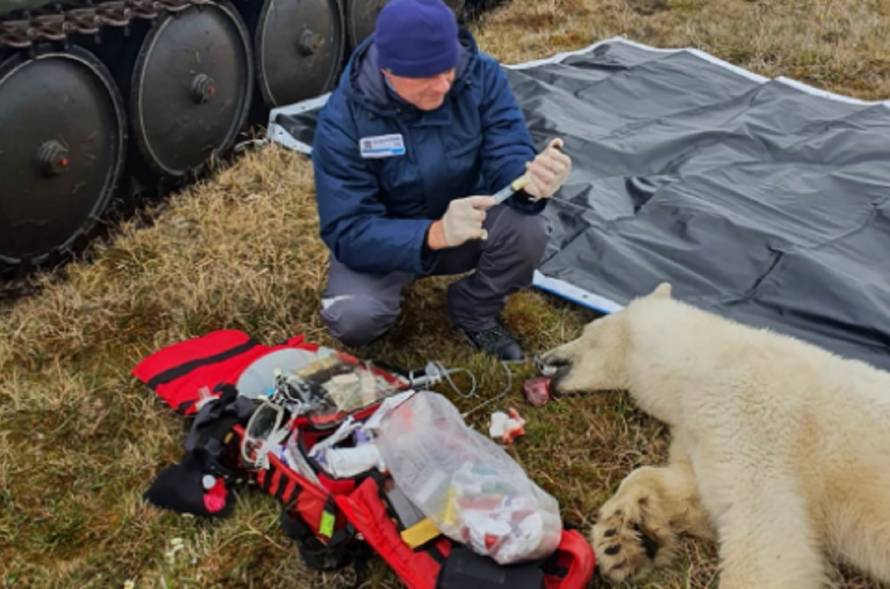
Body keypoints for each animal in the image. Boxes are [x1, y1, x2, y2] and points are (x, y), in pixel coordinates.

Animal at [536, 282, 888, 584]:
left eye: (586, 332)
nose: (542, 358)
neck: (705, 362)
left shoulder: (753, 417)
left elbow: (766, 535)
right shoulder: (697, 427)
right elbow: (695, 493)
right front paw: (620, 541)